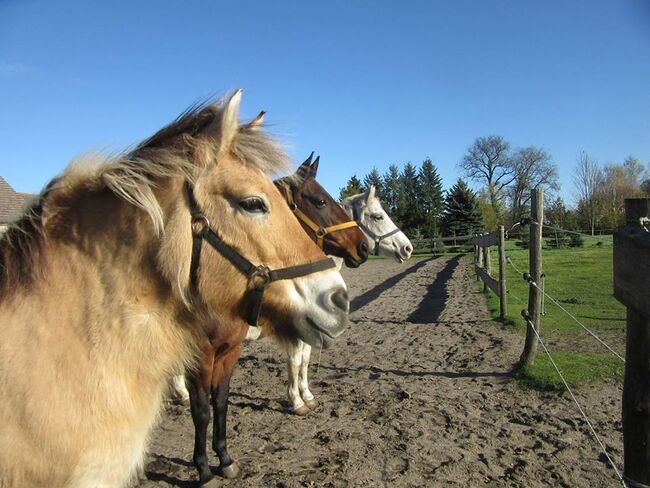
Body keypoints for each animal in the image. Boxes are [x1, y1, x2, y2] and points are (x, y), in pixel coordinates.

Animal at [0, 91, 350, 488]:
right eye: (253, 203)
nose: (339, 299)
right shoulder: (201, 353)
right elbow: (202, 409)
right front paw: (204, 468)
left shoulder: (228, 350)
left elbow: (221, 402)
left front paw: (226, 459)